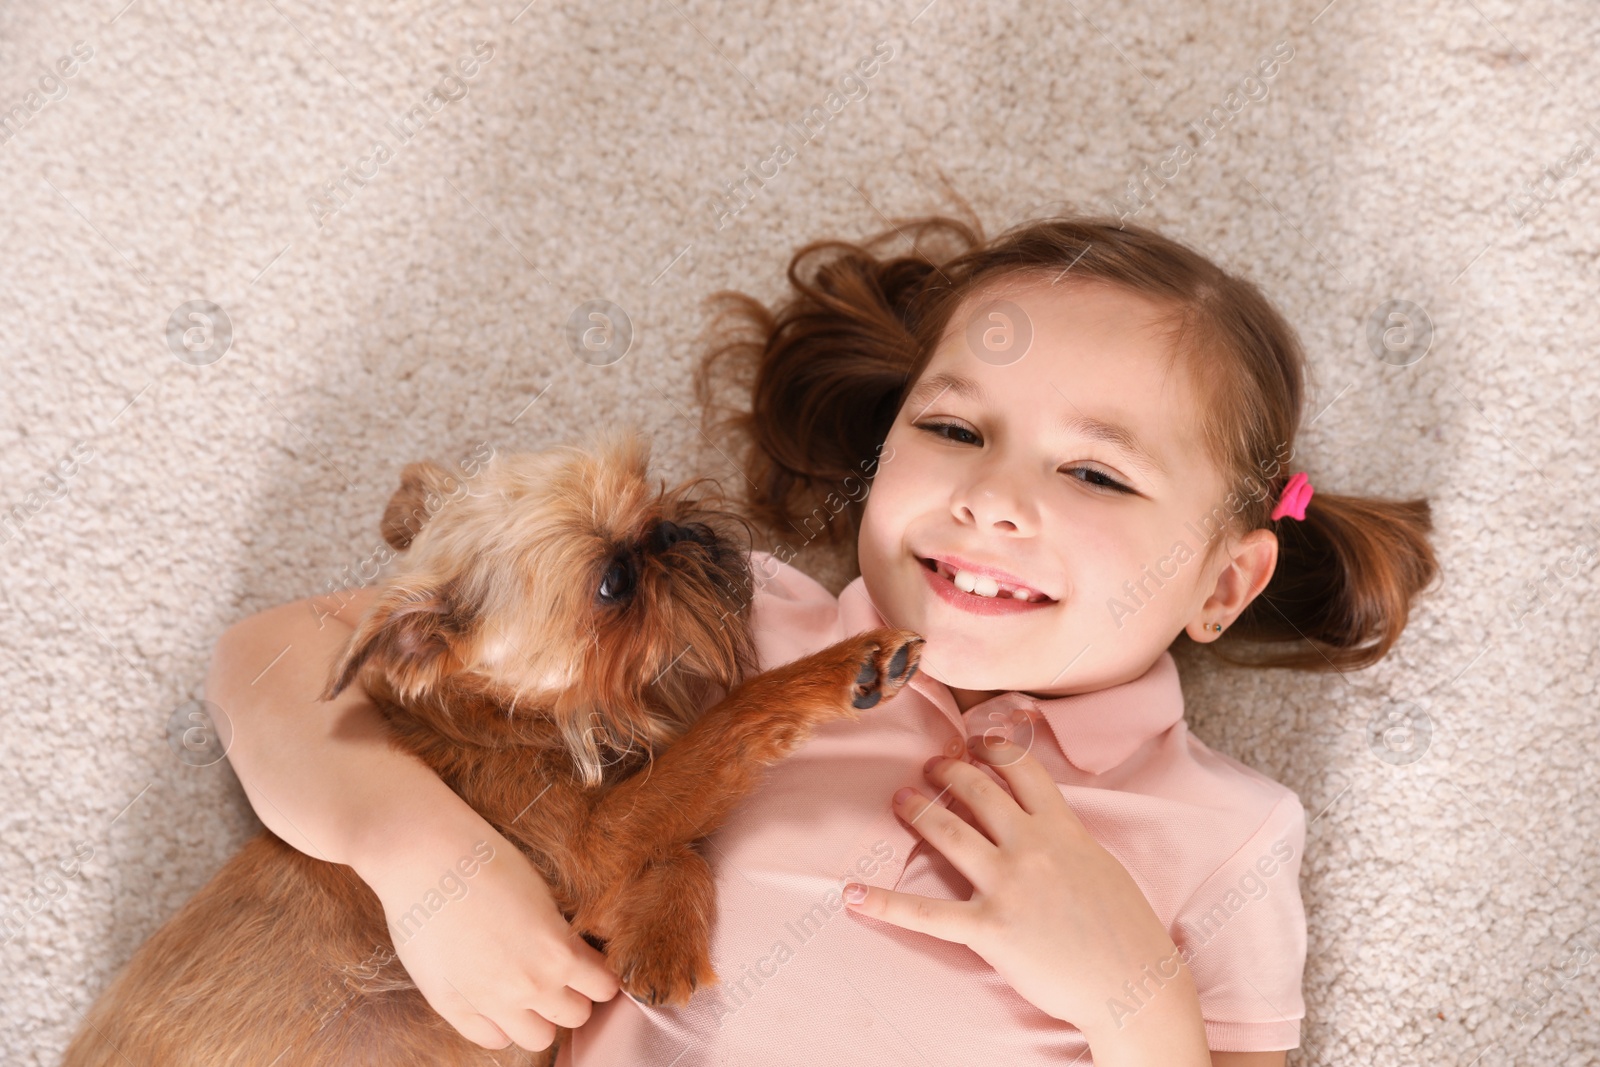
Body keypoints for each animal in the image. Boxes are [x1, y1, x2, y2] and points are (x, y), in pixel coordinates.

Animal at [65, 428, 928, 1062]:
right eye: (614, 583)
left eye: (648, 484)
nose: (675, 527)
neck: (500, 720)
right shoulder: (591, 846)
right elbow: (729, 730)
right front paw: (840, 668)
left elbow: (682, 842)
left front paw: (662, 937)